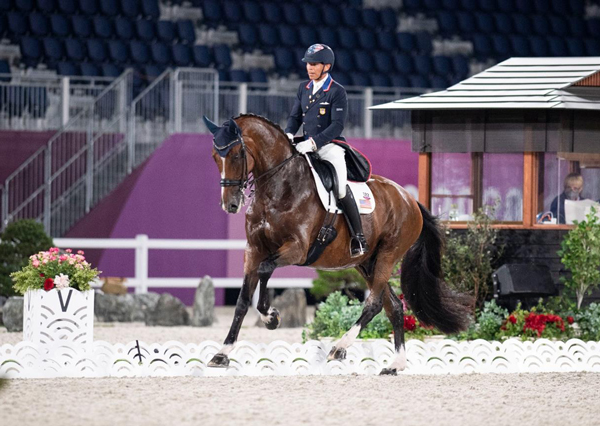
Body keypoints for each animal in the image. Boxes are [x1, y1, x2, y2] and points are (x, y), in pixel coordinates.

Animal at [204, 114, 472, 376]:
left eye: (237, 154)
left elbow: (265, 270)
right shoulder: (253, 250)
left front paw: (272, 317)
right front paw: (222, 354)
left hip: (388, 255)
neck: (279, 188)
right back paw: (395, 364)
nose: (230, 205)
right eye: (215, 157)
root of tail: (410, 200)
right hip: (367, 263)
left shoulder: (296, 249)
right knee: (394, 307)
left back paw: (339, 348)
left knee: (374, 304)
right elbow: (242, 301)